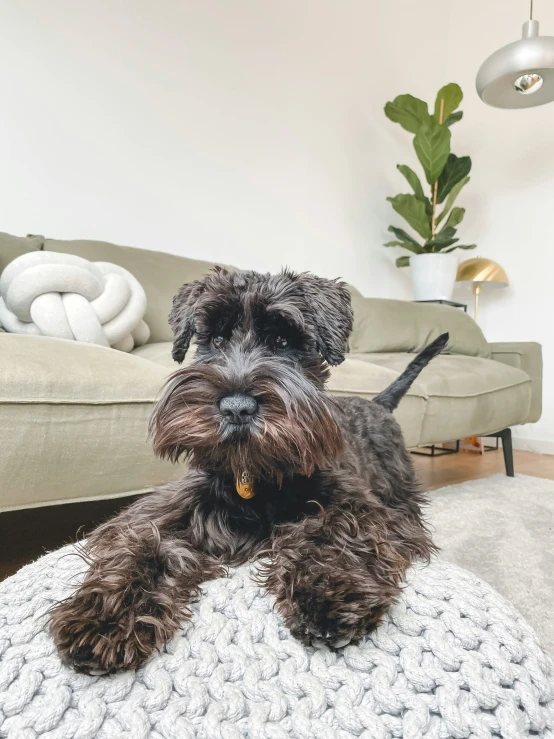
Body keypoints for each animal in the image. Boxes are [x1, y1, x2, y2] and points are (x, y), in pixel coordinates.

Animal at [49, 268, 446, 672]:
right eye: (216, 338)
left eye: (283, 341)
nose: (236, 408)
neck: (255, 475)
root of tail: (379, 403)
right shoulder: (168, 512)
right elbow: (141, 544)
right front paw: (104, 617)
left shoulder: (363, 509)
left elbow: (334, 528)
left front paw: (328, 593)